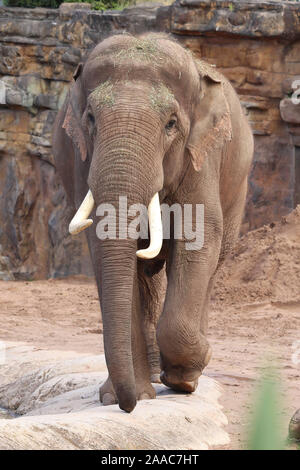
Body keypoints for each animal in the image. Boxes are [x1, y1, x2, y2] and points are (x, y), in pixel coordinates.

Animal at [53, 33, 253, 414]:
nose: (127, 407)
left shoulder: (202, 156)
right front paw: (122, 397)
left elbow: (199, 235)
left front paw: (187, 375)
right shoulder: (81, 160)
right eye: (91, 119)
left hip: (238, 184)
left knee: (212, 263)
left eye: (171, 123)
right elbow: (105, 247)